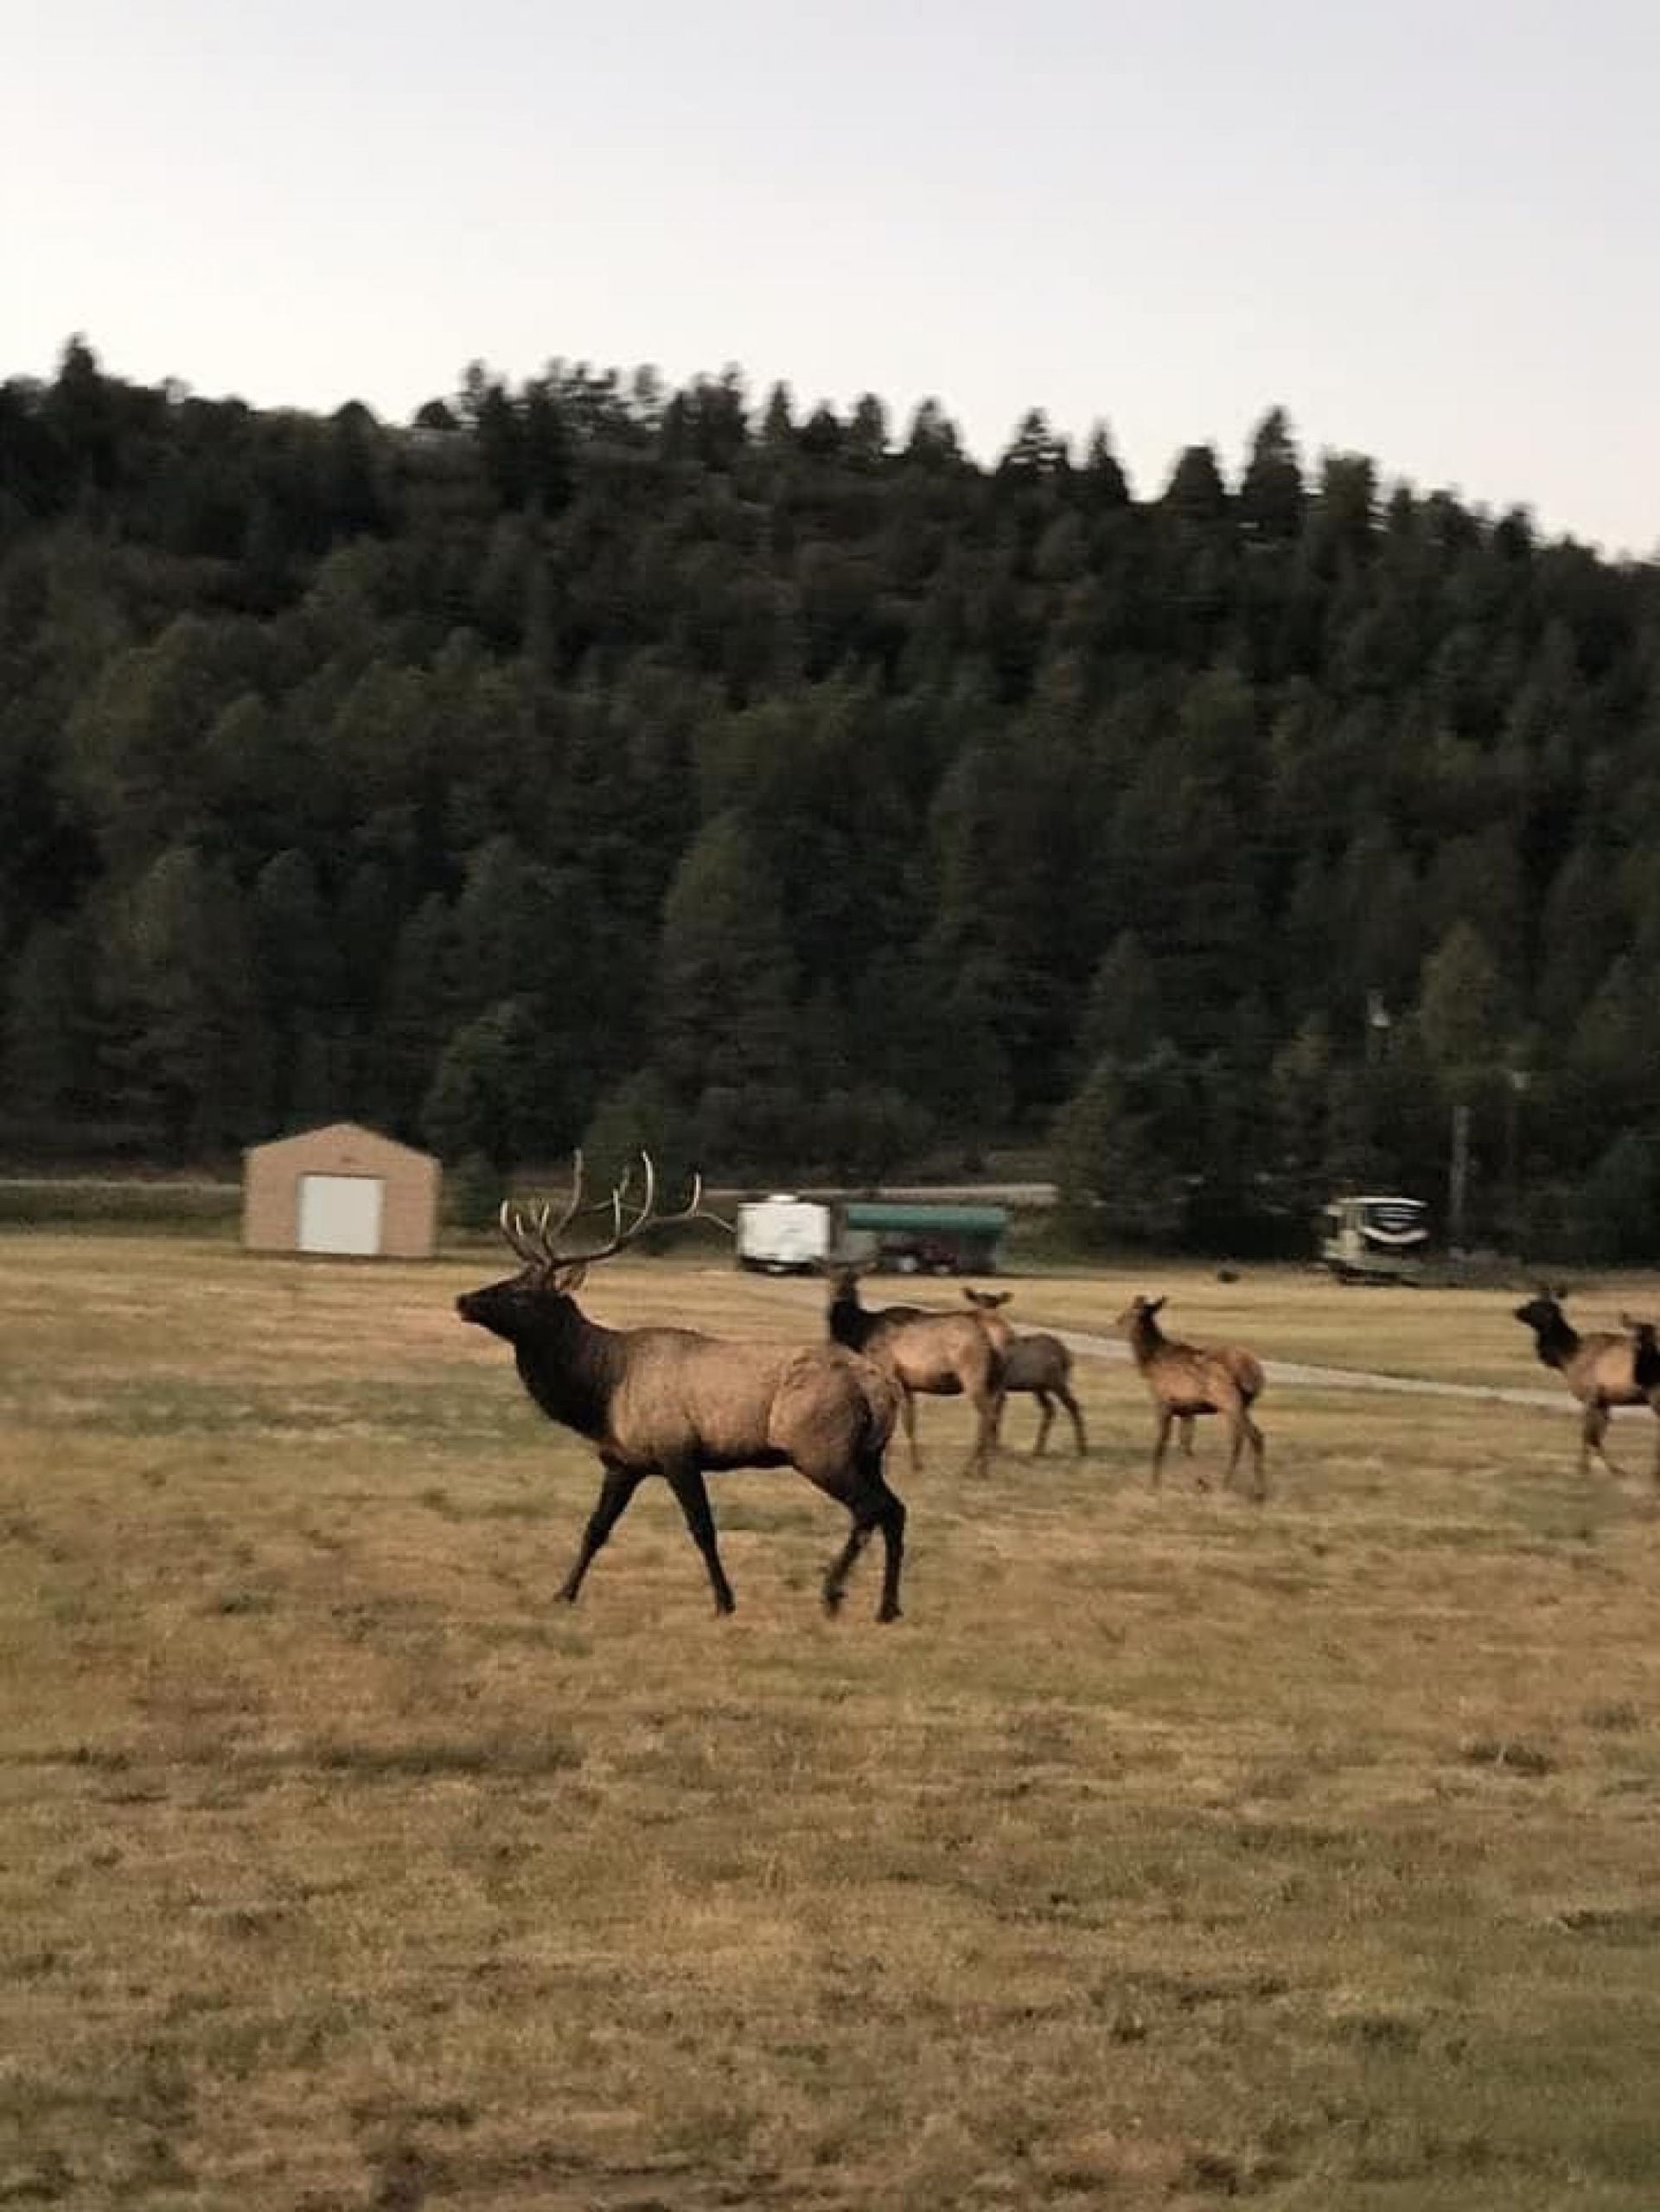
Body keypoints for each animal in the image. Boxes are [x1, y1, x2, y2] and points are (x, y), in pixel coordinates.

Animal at [457, 1168, 911, 1619]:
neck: (601, 1393)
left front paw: (725, 1601)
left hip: (819, 1447)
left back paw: (833, 1593)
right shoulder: (624, 1461)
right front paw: (563, 1593)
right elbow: (596, 1528)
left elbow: (702, 1528)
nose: (463, 1299)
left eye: (523, 1293)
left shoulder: (676, 1450)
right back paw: (888, 1606)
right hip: (867, 1454)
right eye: (511, 1277)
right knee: (895, 1509)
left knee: (870, 1508)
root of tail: (879, 1387)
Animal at [827, 1273, 1009, 1477]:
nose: (839, 1298)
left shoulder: (889, 1372)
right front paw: (914, 1465)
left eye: (853, 1284)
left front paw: (894, 1466)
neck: (861, 1336)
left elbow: (897, 1419)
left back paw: (974, 1468)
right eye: (830, 1279)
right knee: (995, 1411)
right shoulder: (907, 1383)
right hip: (996, 1379)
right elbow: (910, 1421)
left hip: (973, 1373)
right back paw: (983, 1465)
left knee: (987, 1415)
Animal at [961, 1291, 1093, 1459]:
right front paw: (993, 1447)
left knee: (1073, 1405)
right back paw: (1038, 1449)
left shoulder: (1001, 1388)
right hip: (1039, 1387)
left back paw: (1082, 1449)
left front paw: (994, 1448)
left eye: (995, 1303)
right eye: (977, 1301)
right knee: (1050, 1409)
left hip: (1057, 1381)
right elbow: (993, 1416)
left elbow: (995, 1416)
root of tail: (1067, 1355)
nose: (981, 1316)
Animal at [1120, 1291, 1274, 1504]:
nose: (1118, 1320)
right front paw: (1202, 1484)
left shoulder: (1163, 1403)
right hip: (1244, 1404)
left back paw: (1237, 1488)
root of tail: (1256, 1374)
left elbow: (1160, 1444)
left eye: (1133, 1309)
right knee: (1249, 1436)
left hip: (1229, 1401)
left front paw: (1153, 1487)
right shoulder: (1187, 1410)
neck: (1148, 1363)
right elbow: (1185, 1446)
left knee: (1247, 1438)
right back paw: (1251, 1489)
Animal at [1523, 1283, 1660, 1486]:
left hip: (1655, 1397)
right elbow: (1596, 1436)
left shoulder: (1590, 1396)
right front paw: (1612, 1470)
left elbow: (1588, 1435)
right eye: (1533, 1301)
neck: (1567, 1358)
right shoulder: (1604, 1400)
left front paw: (1584, 1469)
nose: (1517, 1310)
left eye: (1540, 1306)